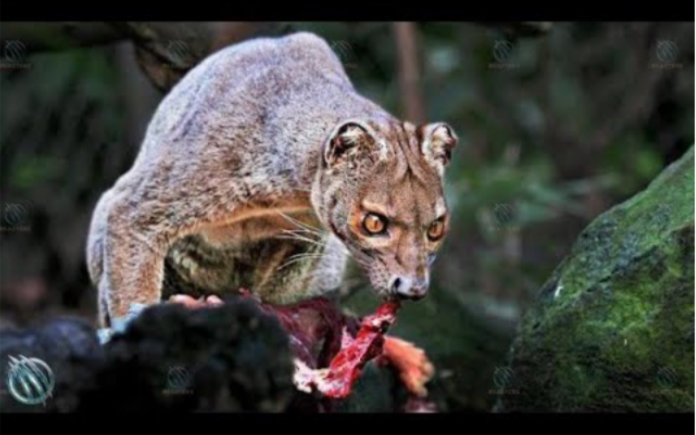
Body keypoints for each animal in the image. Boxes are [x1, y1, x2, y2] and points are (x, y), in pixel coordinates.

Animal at [87, 32, 456, 328]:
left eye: (435, 228)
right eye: (374, 223)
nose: (413, 289)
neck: (291, 194)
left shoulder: (303, 241)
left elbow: (268, 289)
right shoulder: (136, 208)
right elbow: (131, 290)